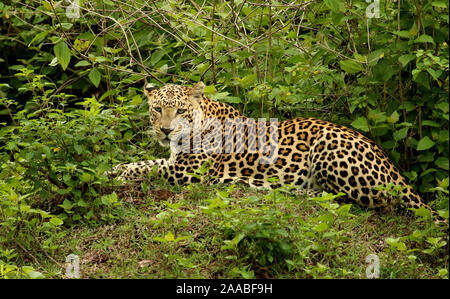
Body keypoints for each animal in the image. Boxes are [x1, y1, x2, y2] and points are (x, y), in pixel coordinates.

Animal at [110, 81, 438, 216]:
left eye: (179, 111)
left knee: (376, 203)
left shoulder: (186, 172)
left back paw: (294, 191)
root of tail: (394, 170)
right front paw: (116, 168)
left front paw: (118, 173)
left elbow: (147, 168)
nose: (165, 130)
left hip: (329, 146)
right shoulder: (175, 161)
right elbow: (146, 161)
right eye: (157, 109)